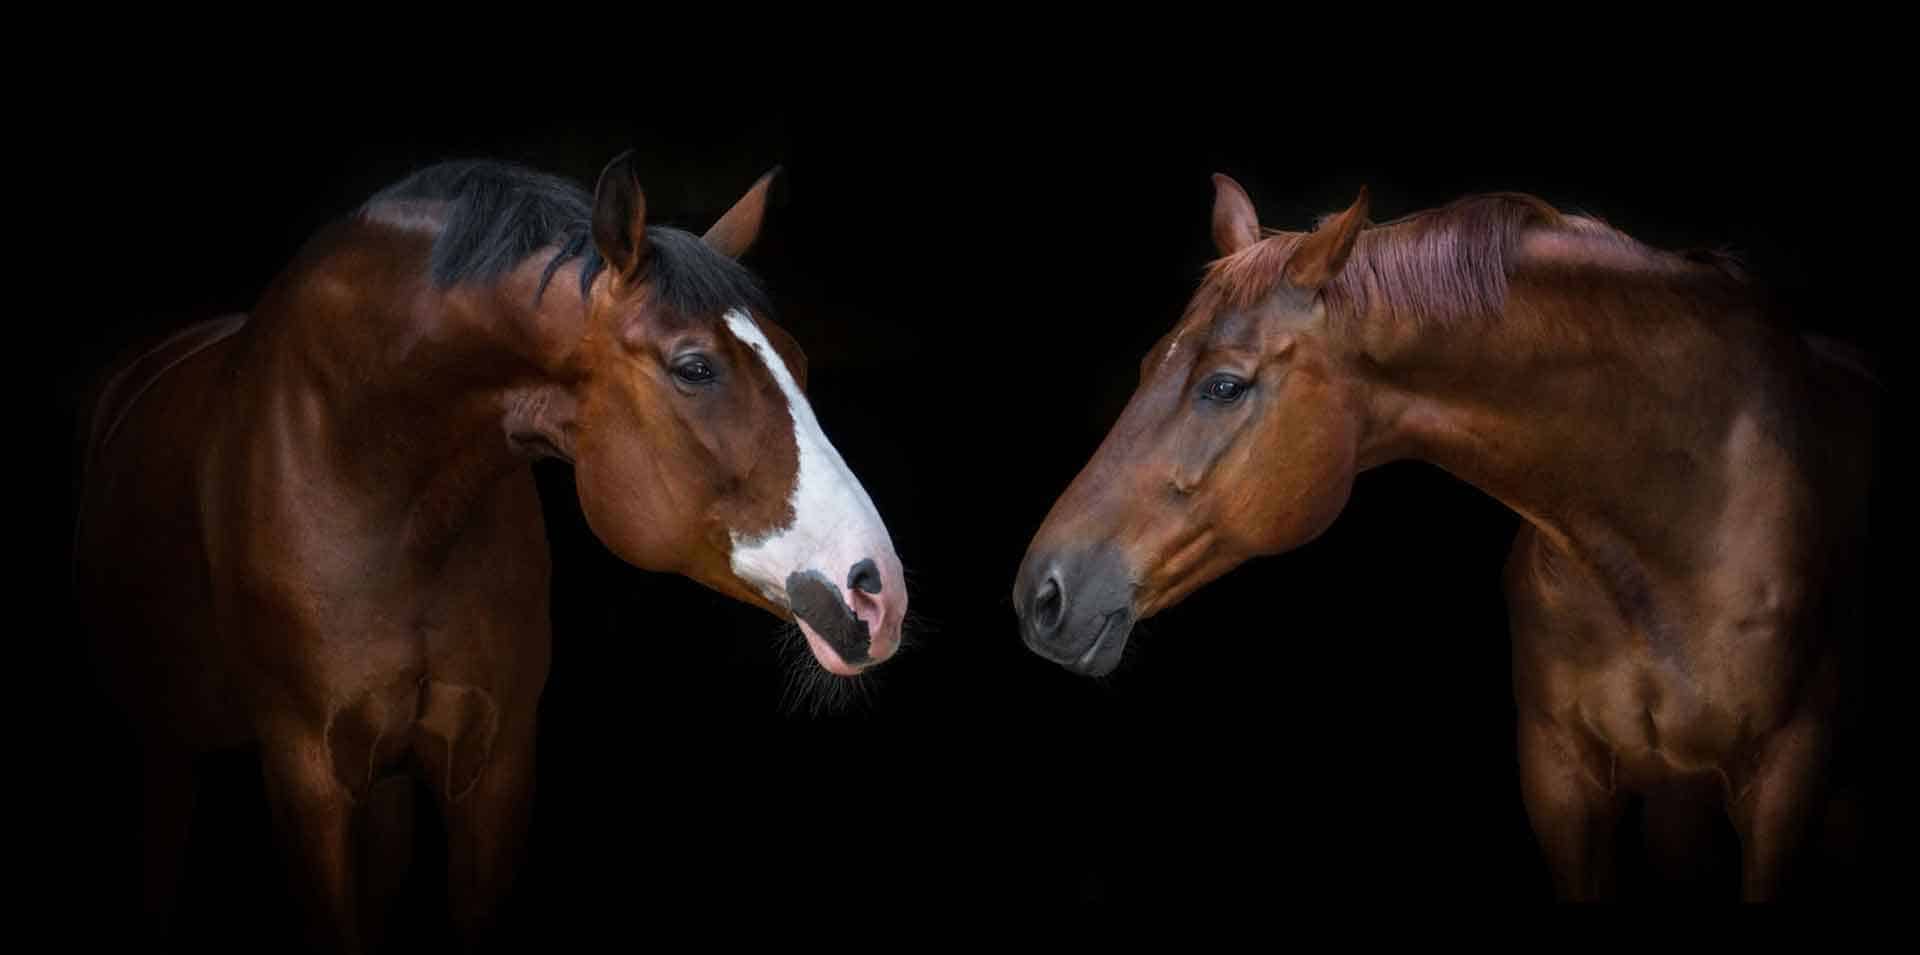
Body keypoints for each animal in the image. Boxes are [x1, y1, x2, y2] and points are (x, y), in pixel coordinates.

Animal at [71, 153, 909, 951]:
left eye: (799, 361)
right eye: (694, 367)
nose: (877, 589)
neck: (364, 469)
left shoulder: (494, 765)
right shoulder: (307, 778)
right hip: (165, 751)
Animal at [1012, 175, 1876, 900]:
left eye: (1224, 384)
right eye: (1149, 364)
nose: (1040, 594)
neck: (1679, 517)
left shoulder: (1784, 781)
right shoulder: (1567, 781)